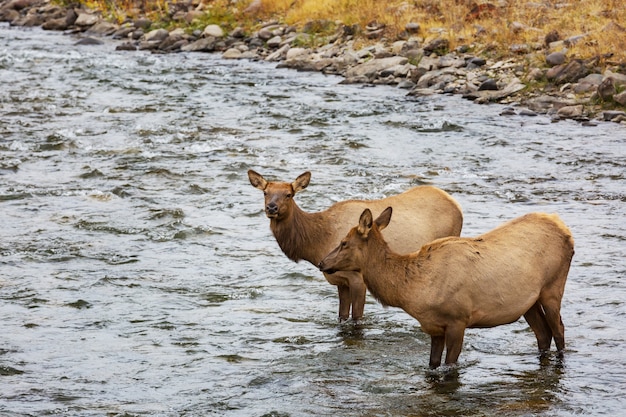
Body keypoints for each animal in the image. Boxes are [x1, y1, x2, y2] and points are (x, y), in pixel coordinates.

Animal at [247, 171, 464, 320]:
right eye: (265, 192)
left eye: (289, 194)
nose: (271, 208)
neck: (317, 243)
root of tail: (457, 205)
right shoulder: (340, 281)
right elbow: (342, 316)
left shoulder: (358, 279)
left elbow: (356, 318)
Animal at [320, 208, 572, 368]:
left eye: (344, 243)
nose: (323, 263)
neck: (412, 292)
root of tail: (565, 230)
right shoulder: (434, 326)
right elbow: (432, 365)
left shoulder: (458, 320)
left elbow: (450, 366)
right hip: (529, 302)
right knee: (543, 334)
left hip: (552, 287)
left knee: (558, 330)